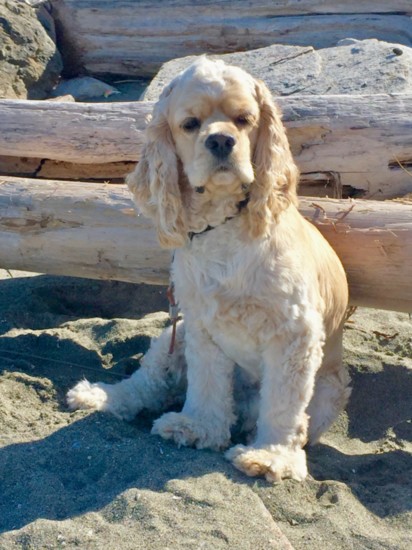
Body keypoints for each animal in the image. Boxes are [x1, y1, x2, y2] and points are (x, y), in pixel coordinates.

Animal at [66, 58, 350, 484]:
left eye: (244, 119)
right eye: (190, 124)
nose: (220, 142)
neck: (224, 225)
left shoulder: (294, 334)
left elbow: (283, 403)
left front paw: (271, 456)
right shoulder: (200, 324)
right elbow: (207, 381)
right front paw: (198, 427)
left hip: (329, 390)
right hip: (174, 334)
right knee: (145, 384)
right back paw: (99, 395)